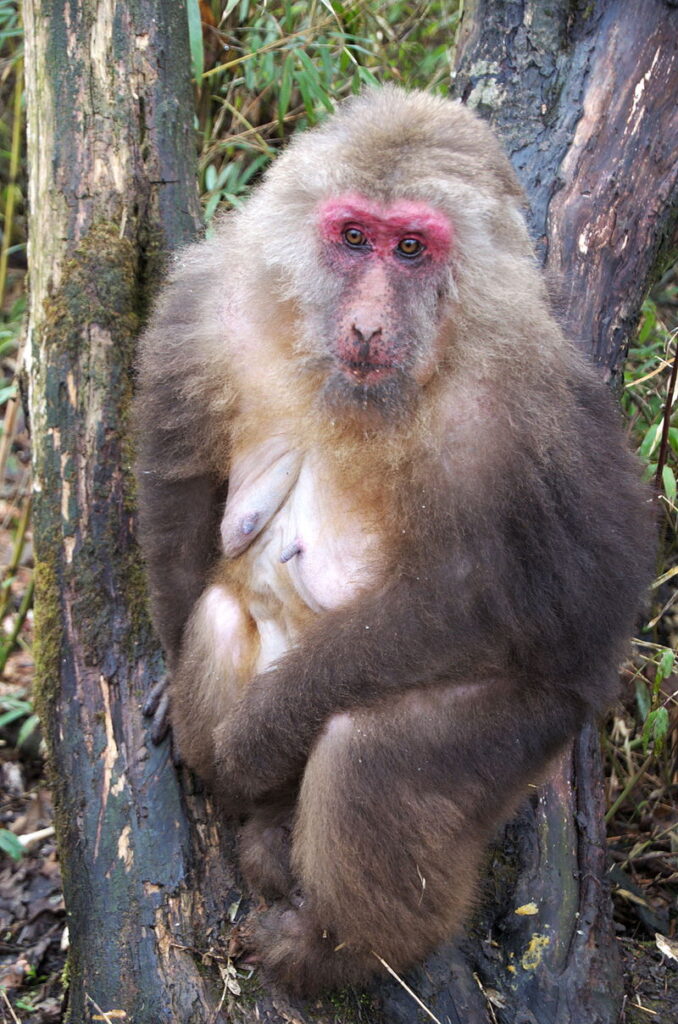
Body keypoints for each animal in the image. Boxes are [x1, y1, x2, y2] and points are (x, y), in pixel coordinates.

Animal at [131, 90, 655, 999]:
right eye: (353, 237)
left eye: (411, 248)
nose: (369, 324)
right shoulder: (206, 306)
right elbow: (180, 491)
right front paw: (184, 701)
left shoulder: (532, 416)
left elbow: (502, 607)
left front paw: (255, 742)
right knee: (225, 613)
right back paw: (265, 822)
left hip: (532, 733)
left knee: (373, 752)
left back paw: (339, 948)